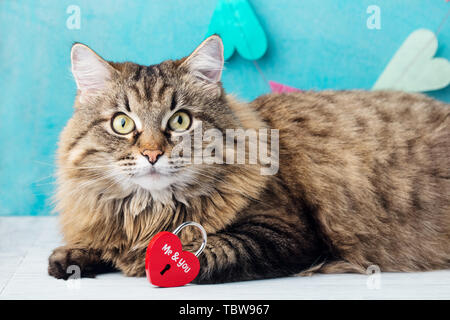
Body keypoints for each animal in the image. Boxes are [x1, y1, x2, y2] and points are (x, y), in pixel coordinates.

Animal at [47, 36, 448, 284]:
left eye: (180, 121)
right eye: (122, 123)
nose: (152, 153)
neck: (152, 212)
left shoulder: (287, 230)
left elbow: (214, 246)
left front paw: (159, 261)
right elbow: (100, 243)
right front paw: (74, 257)